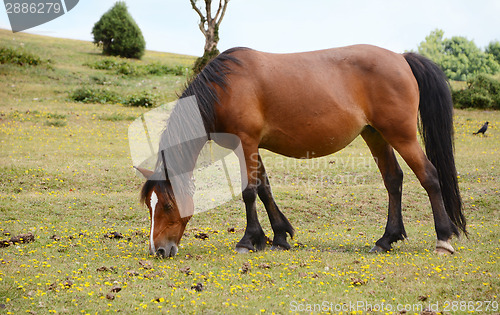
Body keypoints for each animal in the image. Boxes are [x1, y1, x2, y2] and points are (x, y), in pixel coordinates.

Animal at [136, 46, 464, 260]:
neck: (224, 88)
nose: (159, 250)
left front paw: (249, 240)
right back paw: (386, 239)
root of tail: (401, 58)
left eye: (167, 205)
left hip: (401, 135)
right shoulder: (253, 147)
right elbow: (264, 188)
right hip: (375, 135)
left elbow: (249, 192)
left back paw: (443, 239)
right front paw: (279, 236)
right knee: (393, 180)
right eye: (150, 207)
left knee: (429, 176)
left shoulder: (246, 143)